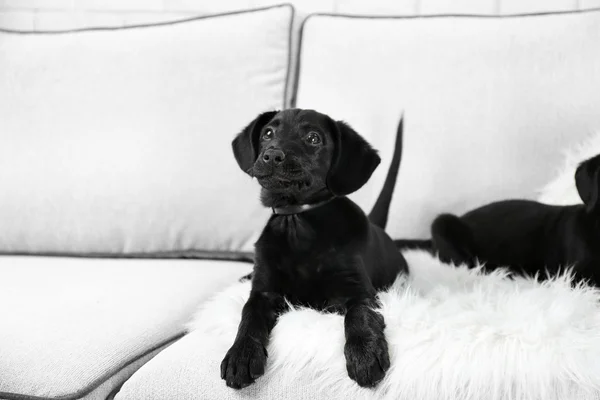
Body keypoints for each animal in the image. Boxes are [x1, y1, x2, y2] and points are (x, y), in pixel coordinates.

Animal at [220, 108, 408, 390]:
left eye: (313, 138)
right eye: (268, 133)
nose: (272, 155)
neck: (297, 222)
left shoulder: (359, 291)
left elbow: (359, 315)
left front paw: (364, 354)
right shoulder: (263, 292)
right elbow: (248, 316)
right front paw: (240, 355)